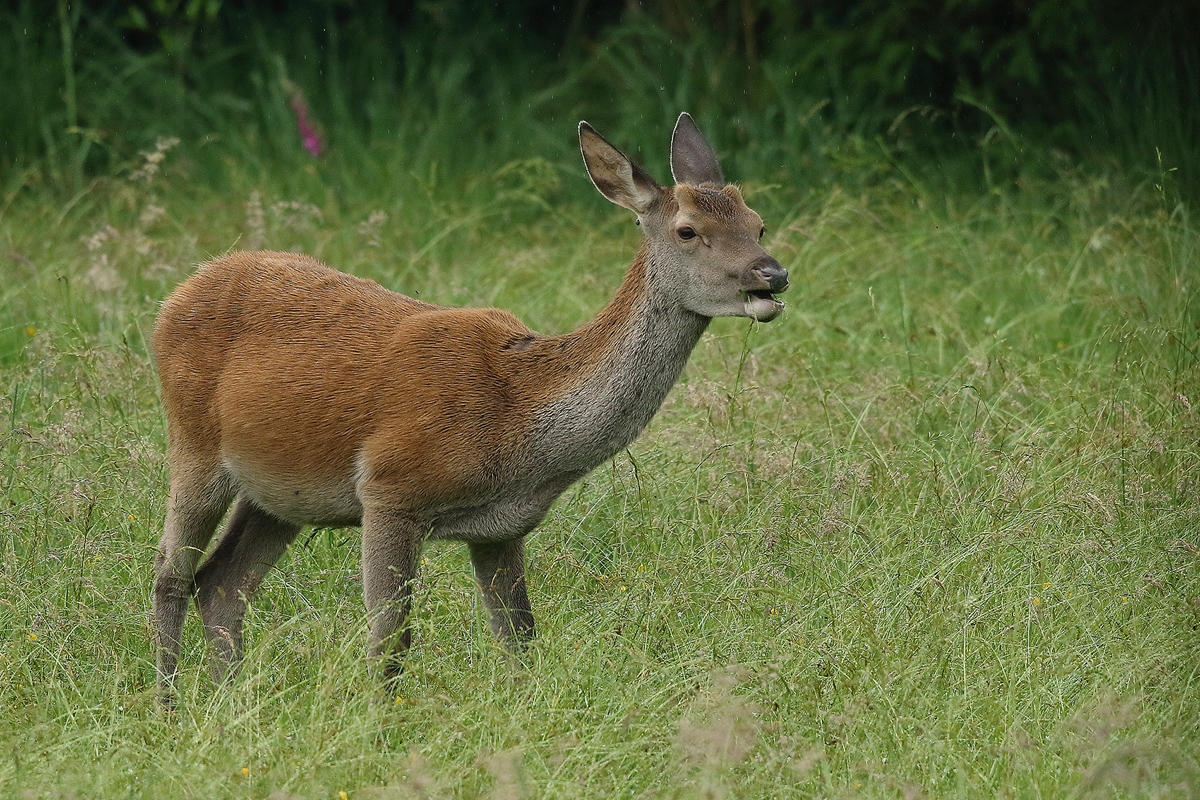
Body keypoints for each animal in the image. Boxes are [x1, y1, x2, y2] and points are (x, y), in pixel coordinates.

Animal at [150, 113, 787, 695]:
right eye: (687, 230)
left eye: (758, 223)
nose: (772, 275)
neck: (522, 428)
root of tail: (179, 291)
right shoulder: (390, 489)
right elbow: (390, 639)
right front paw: (382, 724)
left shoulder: (502, 529)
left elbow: (520, 640)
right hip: (193, 443)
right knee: (170, 574)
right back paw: (170, 703)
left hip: (280, 493)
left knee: (221, 584)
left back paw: (227, 700)